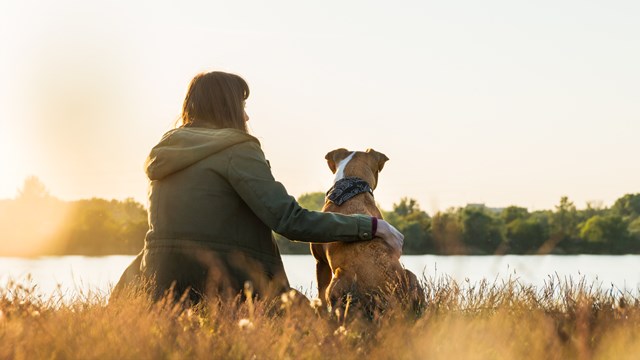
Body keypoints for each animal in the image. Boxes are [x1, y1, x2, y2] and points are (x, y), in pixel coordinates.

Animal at [312, 148, 424, 320]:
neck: (352, 190)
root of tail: (388, 301)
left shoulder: (320, 262)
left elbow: (320, 297)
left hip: (337, 282)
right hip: (410, 275)